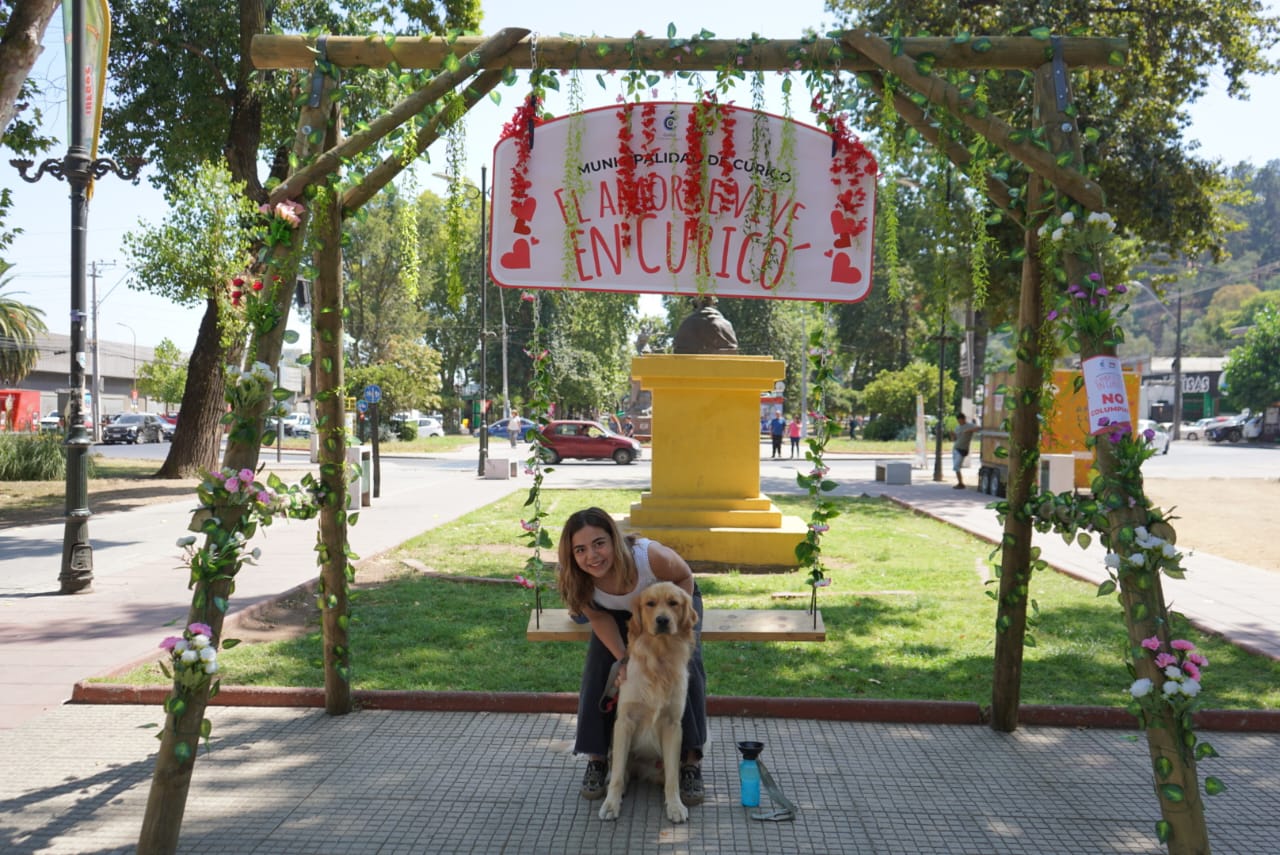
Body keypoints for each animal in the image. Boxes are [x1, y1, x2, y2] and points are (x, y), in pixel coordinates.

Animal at [596, 581, 696, 819]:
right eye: (650, 603)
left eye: (673, 603)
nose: (663, 620)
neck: (659, 657)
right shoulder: (624, 721)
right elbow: (617, 775)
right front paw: (611, 804)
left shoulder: (672, 725)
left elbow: (672, 778)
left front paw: (675, 806)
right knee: (619, 771)